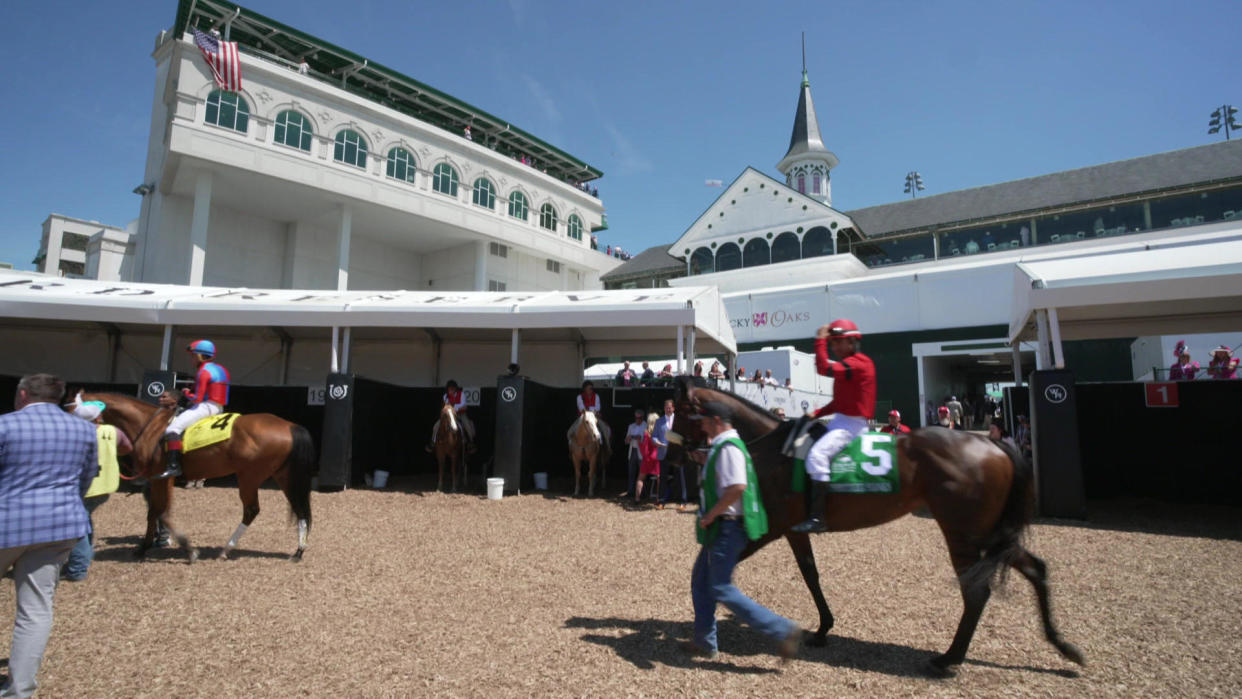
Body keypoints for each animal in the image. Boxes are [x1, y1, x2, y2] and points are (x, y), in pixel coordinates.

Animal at [71, 392, 315, 566]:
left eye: (75, 412)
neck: (150, 427)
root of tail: (289, 425)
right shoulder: (159, 480)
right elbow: (156, 512)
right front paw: (145, 547)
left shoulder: (161, 479)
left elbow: (159, 511)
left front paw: (186, 550)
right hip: (283, 477)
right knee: (300, 509)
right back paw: (298, 551)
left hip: (249, 477)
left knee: (252, 510)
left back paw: (226, 549)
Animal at [665, 377, 1083, 680]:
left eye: (679, 412)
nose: (670, 457)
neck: (773, 449)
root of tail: (995, 447)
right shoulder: (795, 530)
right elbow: (811, 574)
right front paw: (823, 629)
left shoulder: (771, 527)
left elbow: (724, 567)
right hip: (991, 534)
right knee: (1036, 569)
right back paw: (1064, 646)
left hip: (963, 534)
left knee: (976, 592)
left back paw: (948, 659)